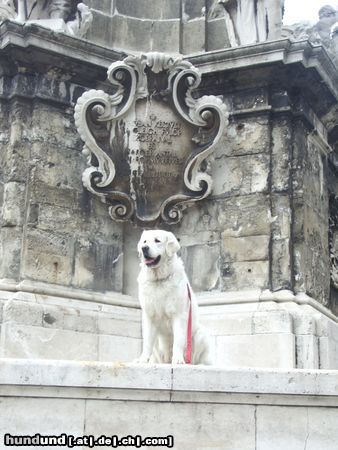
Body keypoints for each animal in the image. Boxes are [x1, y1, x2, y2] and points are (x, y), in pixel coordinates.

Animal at [135, 230, 211, 364]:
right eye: (144, 241)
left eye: (157, 240)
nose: (144, 248)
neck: (159, 279)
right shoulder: (149, 316)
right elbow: (147, 342)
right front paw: (143, 359)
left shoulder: (179, 315)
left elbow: (178, 341)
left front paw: (178, 360)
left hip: (200, 334)